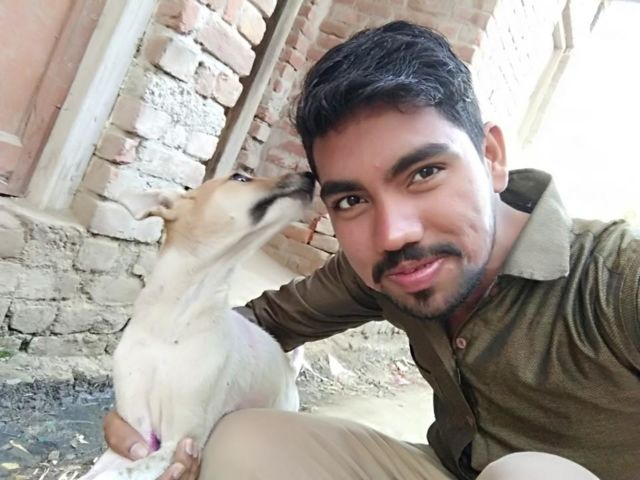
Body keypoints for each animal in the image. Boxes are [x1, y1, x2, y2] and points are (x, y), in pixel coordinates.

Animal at [81, 171, 315, 480]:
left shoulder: (180, 440)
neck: (173, 325)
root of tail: (289, 371)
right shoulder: (138, 430)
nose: (310, 175)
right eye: (240, 177)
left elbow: (120, 474)